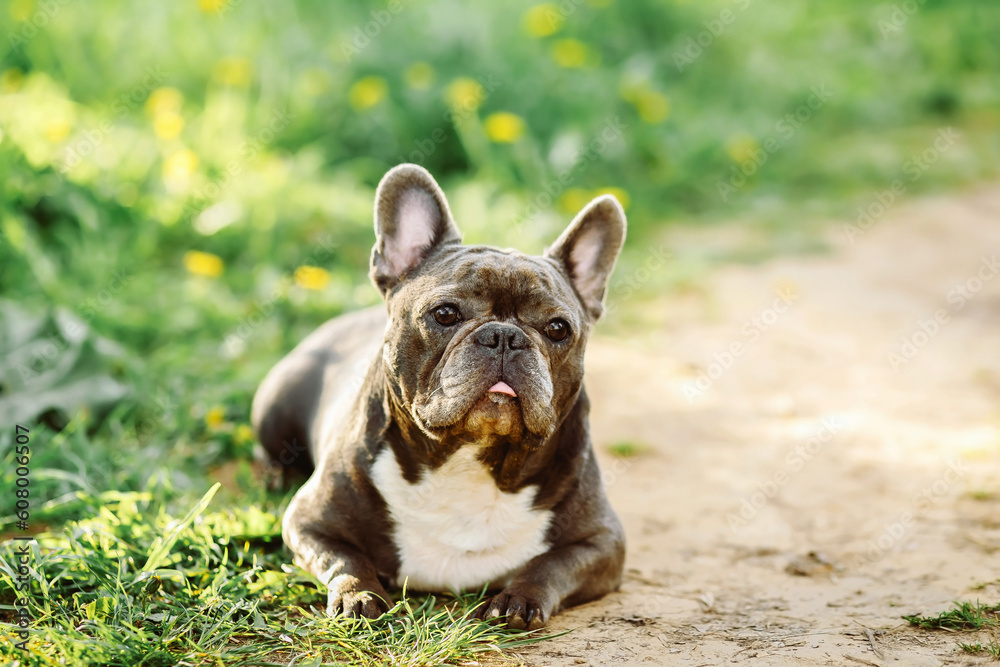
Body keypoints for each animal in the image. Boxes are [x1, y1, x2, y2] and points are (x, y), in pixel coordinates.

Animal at [250, 164, 624, 628]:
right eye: (445, 314)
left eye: (558, 328)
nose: (505, 336)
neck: (468, 459)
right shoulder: (309, 522)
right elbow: (343, 560)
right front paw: (359, 596)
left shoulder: (603, 541)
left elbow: (550, 564)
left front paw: (518, 598)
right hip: (273, 406)